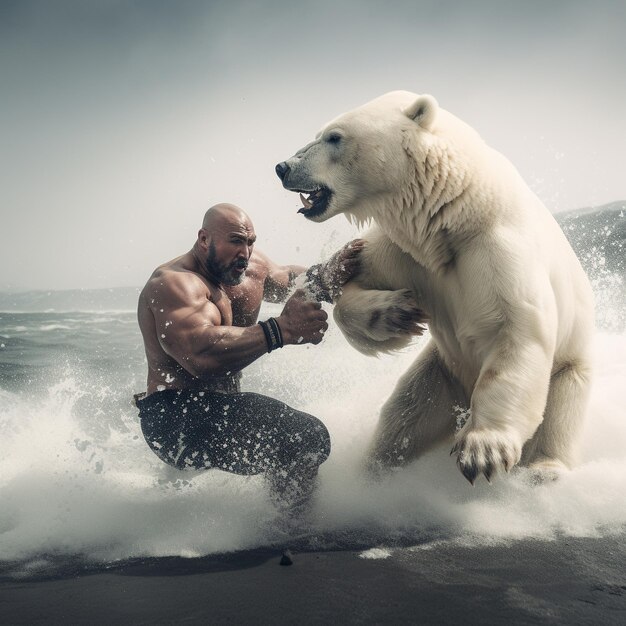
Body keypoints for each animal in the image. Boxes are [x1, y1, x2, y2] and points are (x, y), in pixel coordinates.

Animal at [276, 90, 592, 486]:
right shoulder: (408, 254)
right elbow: (355, 284)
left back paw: (544, 469)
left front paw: (483, 451)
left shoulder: (497, 248)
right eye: (320, 133)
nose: (283, 167)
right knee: (404, 420)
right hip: (440, 375)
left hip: (568, 370)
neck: (455, 213)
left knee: (560, 415)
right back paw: (372, 472)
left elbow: (516, 329)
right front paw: (396, 314)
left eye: (334, 136)